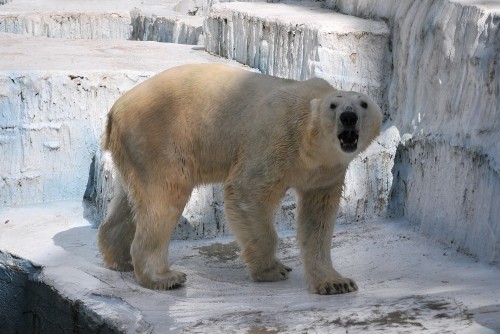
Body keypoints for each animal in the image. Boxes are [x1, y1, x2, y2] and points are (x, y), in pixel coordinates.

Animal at [98, 63, 382, 294]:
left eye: (364, 103)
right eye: (334, 105)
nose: (348, 117)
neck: (309, 143)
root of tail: (114, 110)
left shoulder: (326, 173)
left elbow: (317, 222)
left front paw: (335, 282)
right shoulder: (276, 139)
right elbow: (247, 192)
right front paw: (272, 269)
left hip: (135, 150)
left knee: (131, 200)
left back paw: (120, 258)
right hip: (160, 138)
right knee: (164, 197)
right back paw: (165, 277)